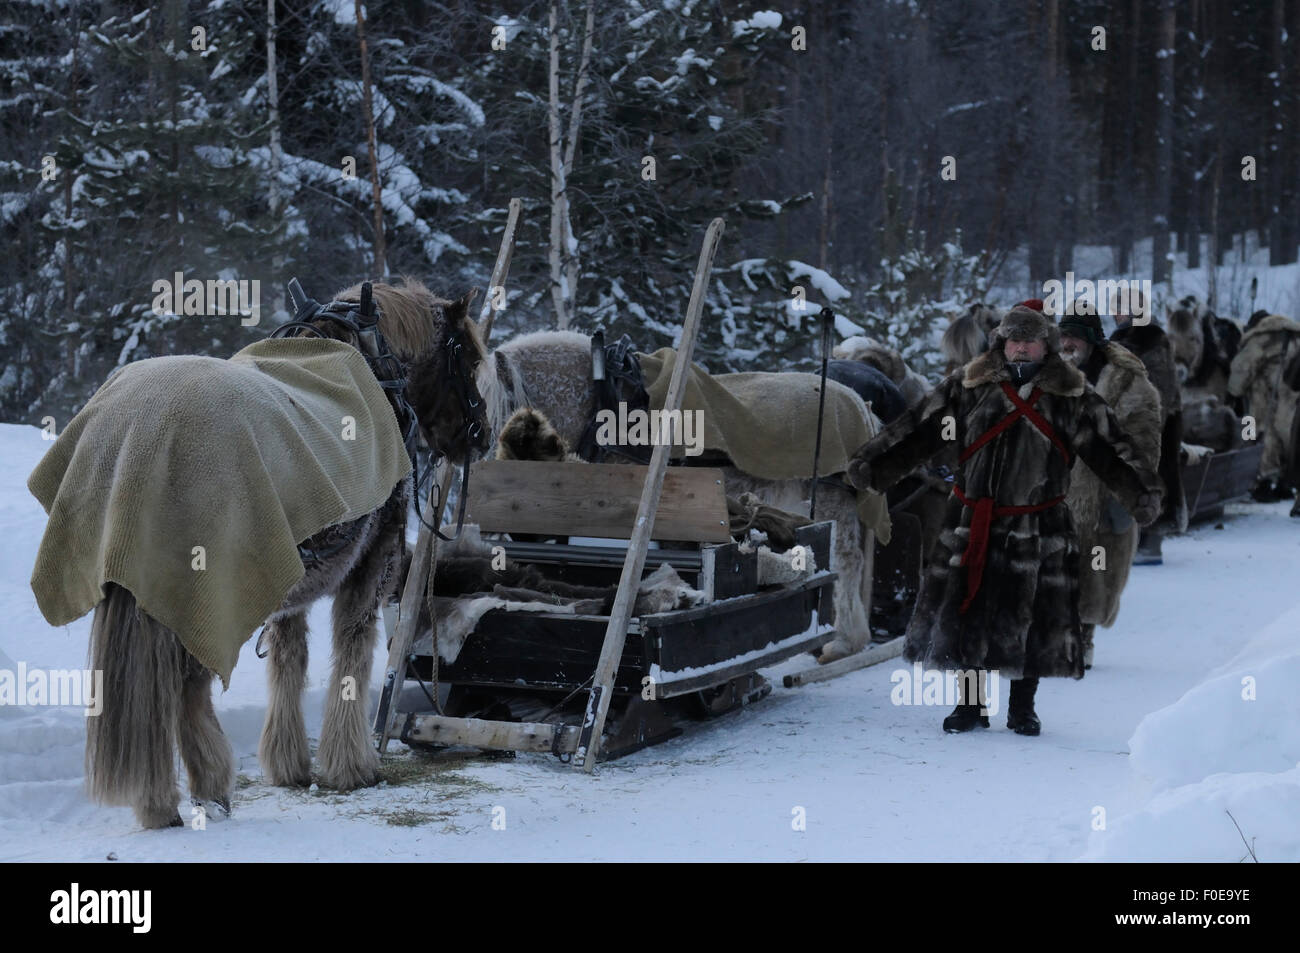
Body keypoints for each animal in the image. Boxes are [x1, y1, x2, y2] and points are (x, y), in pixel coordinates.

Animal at [71, 276, 488, 826]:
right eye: (469, 359)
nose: (482, 438)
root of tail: (139, 431)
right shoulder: (370, 564)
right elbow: (353, 650)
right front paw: (352, 765)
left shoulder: (289, 586)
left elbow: (289, 656)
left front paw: (289, 763)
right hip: (198, 588)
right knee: (186, 685)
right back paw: (204, 788)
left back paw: (166, 799)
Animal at [478, 330, 883, 665]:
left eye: (487, 410)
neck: (598, 404)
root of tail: (860, 404)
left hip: (832, 498)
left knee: (846, 561)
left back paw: (844, 642)